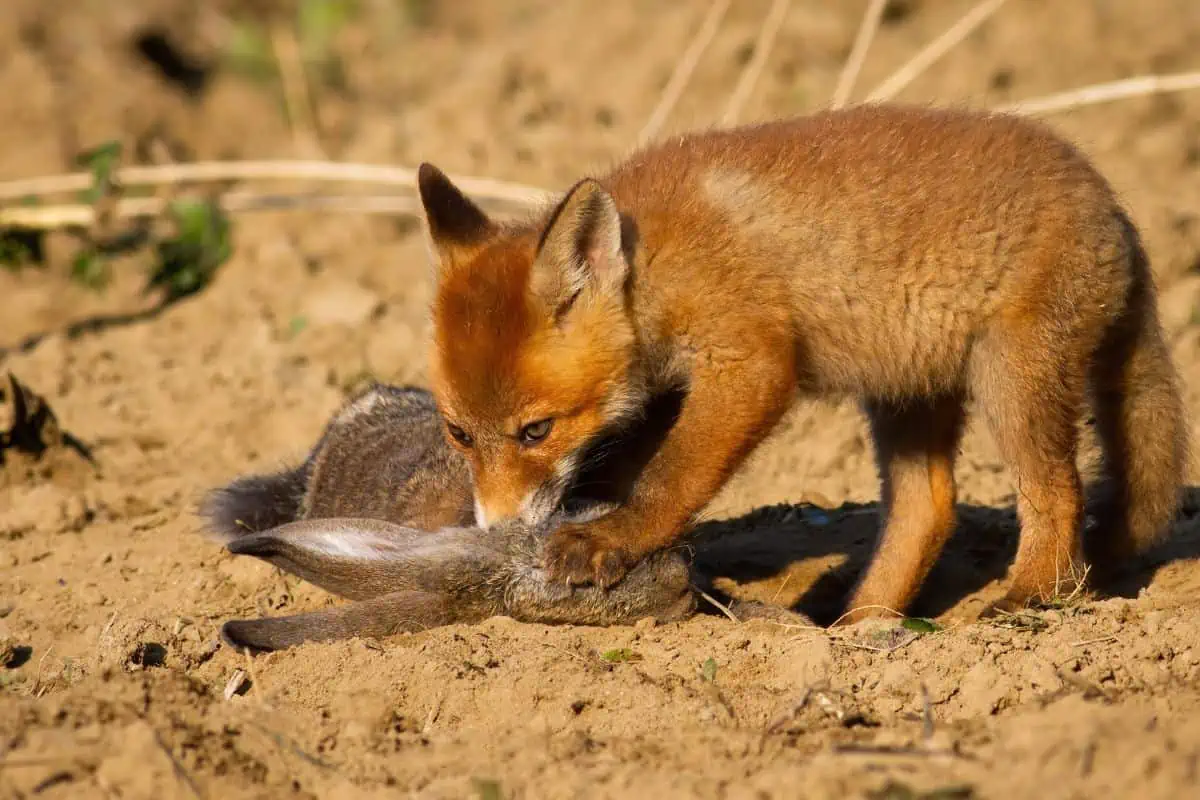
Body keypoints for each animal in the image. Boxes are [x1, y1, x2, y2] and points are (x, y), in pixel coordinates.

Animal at [416, 103, 1188, 623]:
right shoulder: (668, 389)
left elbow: (670, 477)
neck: (656, 263)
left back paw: (1029, 595)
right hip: (906, 391)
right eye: (458, 434)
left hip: (1011, 380)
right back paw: (856, 625)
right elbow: (628, 466)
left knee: (1056, 493)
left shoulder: (748, 363)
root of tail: (1114, 206)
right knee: (929, 508)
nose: (494, 530)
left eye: (535, 431)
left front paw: (612, 538)